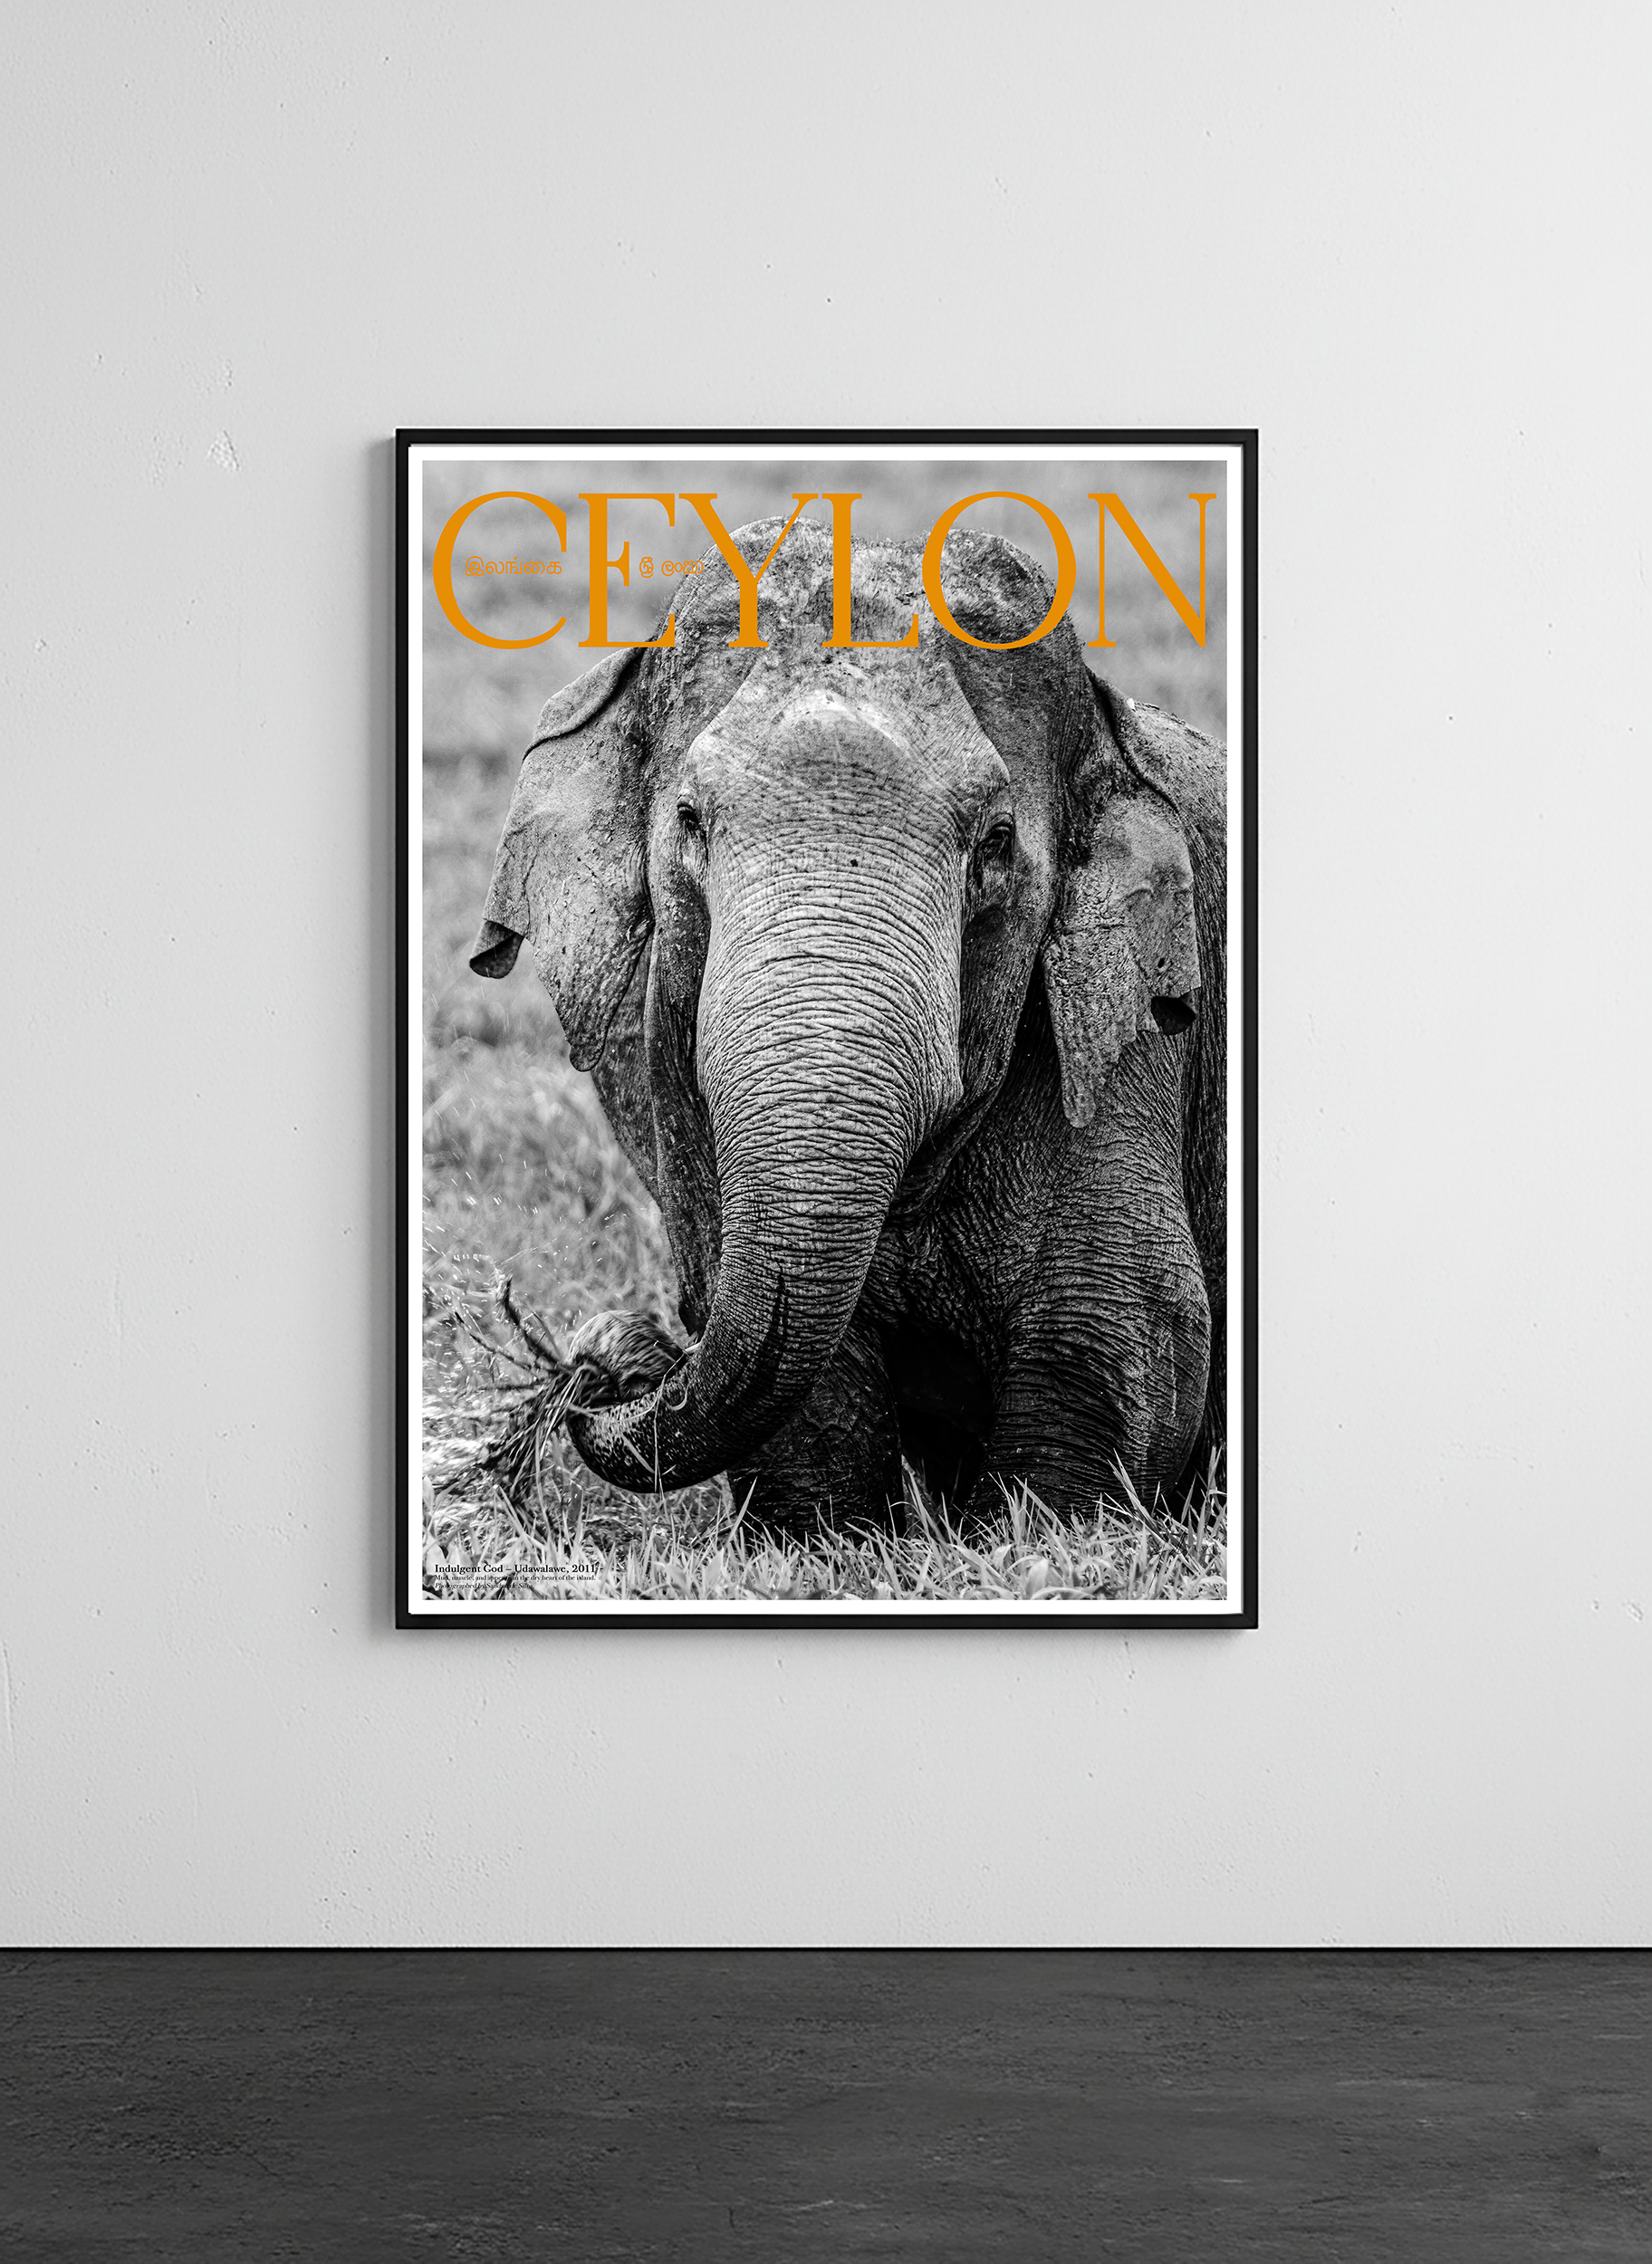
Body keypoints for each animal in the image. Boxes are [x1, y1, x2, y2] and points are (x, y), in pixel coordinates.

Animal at [468, 515, 1227, 1533]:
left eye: (995, 843)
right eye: (689, 819)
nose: (602, 1364)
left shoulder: (1131, 1032)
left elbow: (1118, 1335)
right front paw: (832, 1543)